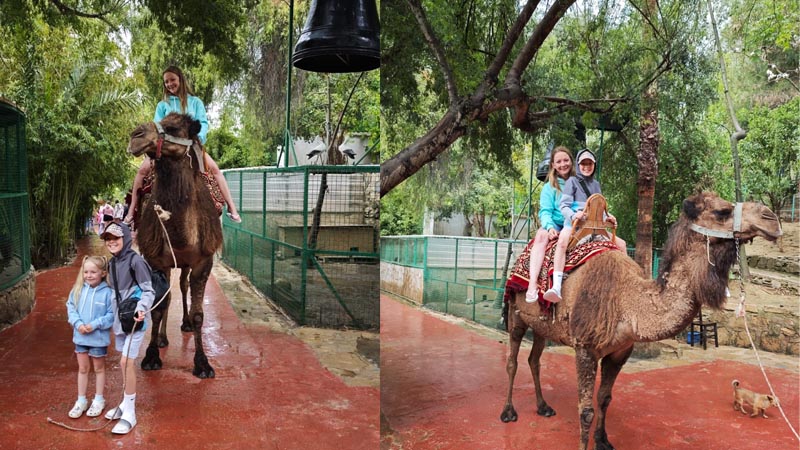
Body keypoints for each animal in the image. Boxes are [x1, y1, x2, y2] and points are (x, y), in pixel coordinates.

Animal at [127, 113, 223, 378]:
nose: (135, 135)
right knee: (168, 295)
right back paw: (161, 339)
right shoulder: (156, 260)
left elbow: (200, 315)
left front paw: (202, 364)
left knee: (181, 285)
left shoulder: (203, 261)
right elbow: (158, 308)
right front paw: (151, 357)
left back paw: (185, 323)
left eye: (175, 128)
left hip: (186, 264)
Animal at [500, 192, 781, 450]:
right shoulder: (585, 348)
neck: (627, 303)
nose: (771, 219)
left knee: (534, 359)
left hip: (541, 325)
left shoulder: (620, 351)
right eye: (722, 211)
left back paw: (543, 407)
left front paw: (603, 441)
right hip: (516, 314)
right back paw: (508, 412)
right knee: (513, 361)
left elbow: (604, 398)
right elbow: (586, 410)